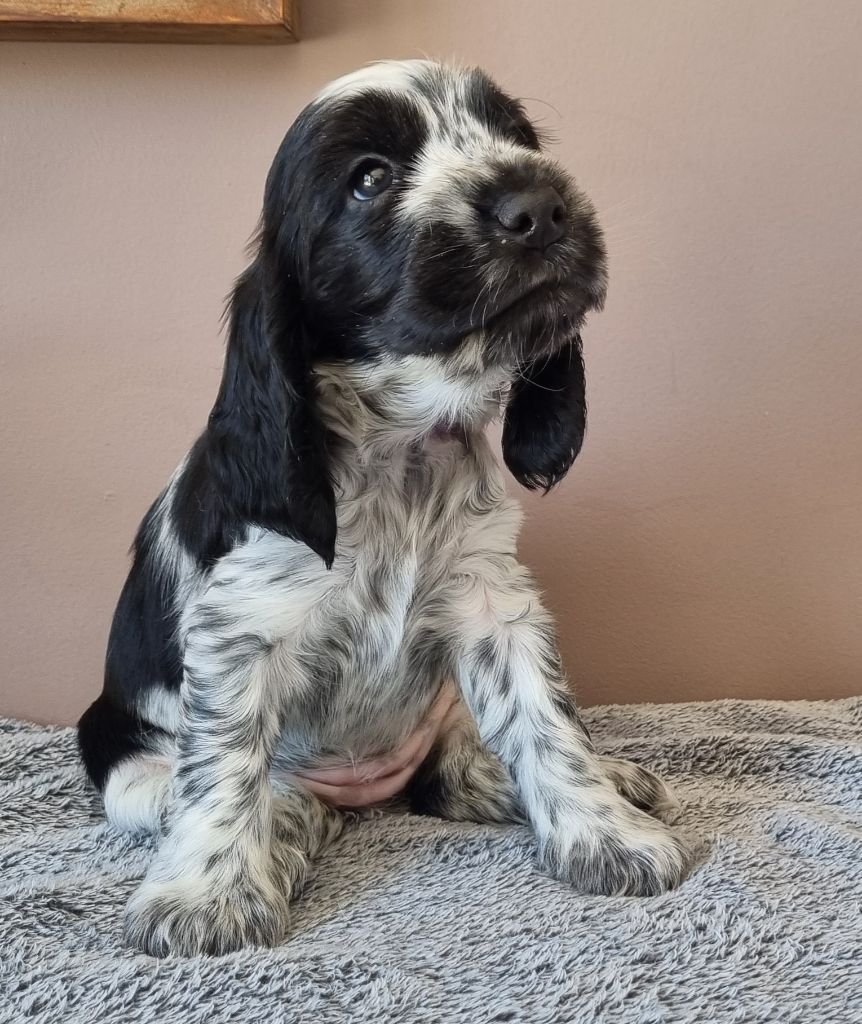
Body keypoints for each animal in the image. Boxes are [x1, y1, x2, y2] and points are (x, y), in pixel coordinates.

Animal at [78, 59, 690, 957]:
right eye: (368, 179)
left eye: (516, 137)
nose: (539, 204)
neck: (401, 450)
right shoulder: (241, 626)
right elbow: (222, 767)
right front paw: (206, 896)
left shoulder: (492, 604)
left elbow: (547, 722)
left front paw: (605, 833)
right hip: (119, 749)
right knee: (215, 793)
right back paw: (287, 822)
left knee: (458, 770)